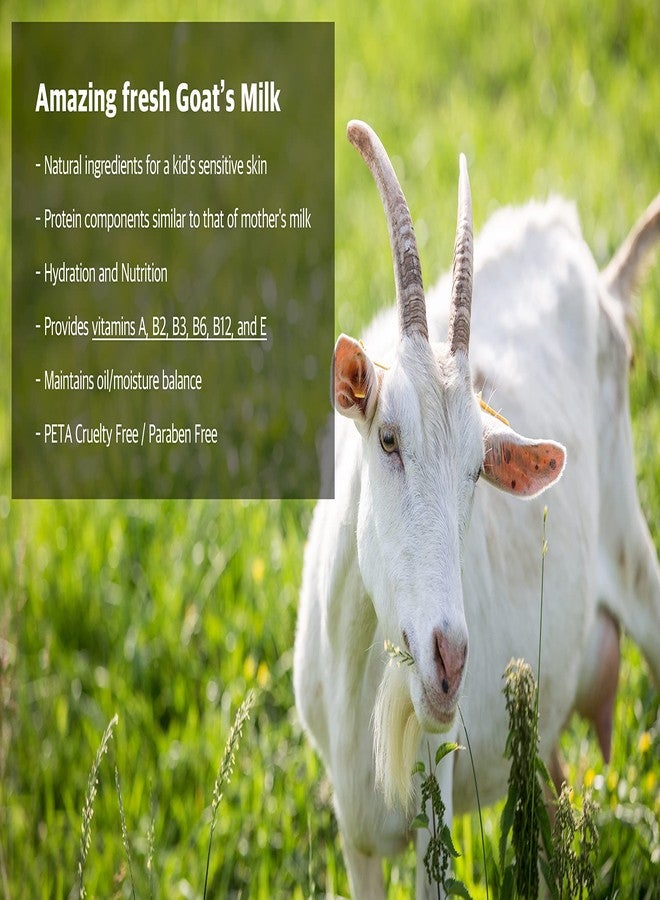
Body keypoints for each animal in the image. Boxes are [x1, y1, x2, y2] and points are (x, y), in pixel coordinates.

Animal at [294, 119, 660, 898]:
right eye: (389, 438)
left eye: (476, 470)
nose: (450, 660)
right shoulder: (352, 837)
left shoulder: (433, 810)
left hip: (636, 557)